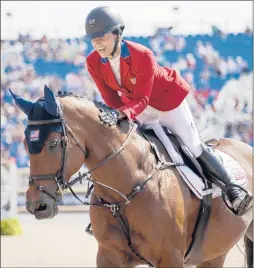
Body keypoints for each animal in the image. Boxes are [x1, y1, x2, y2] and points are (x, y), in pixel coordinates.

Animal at [10, 87, 252, 266]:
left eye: (53, 143)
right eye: (25, 145)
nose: (37, 205)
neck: (125, 190)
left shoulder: (170, 257)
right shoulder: (109, 257)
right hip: (214, 253)